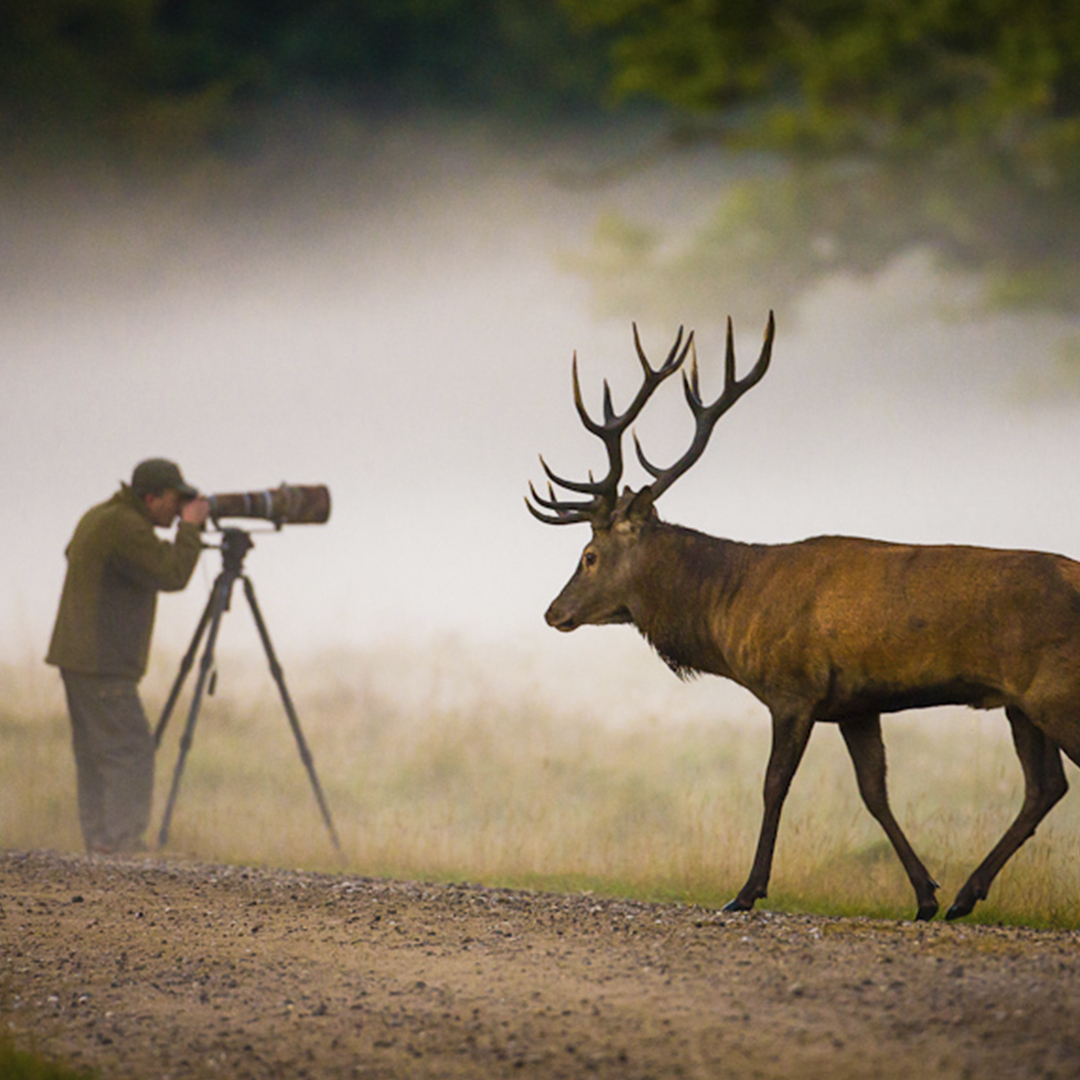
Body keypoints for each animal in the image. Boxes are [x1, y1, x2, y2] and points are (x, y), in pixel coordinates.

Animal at [529, 311, 1080, 920]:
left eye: (589, 555)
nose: (554, 612)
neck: (730, 610)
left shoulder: (792, 690)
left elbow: (774, 785)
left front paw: (746, 891)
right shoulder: (855, 705)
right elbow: (874, 792)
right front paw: (924, 894)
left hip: (1056, 687)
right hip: (1021, 702)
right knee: (1045, 787)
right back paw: (965, 895)